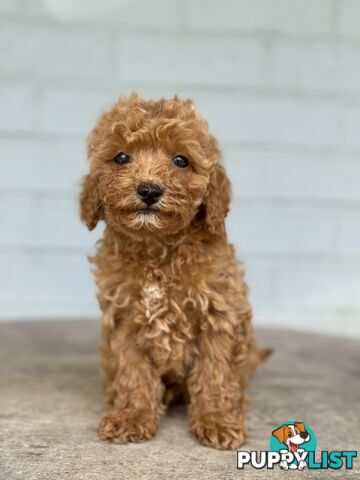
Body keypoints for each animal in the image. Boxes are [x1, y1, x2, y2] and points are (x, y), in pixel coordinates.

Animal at [80, 94, 268, 450]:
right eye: (121, 157)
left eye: (181, 160)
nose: (149, 190)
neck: (157, 247)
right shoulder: (125, 318)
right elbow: (134, 371)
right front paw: (133, 415)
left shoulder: (217, 314)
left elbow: (214, 372)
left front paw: (216, 419)